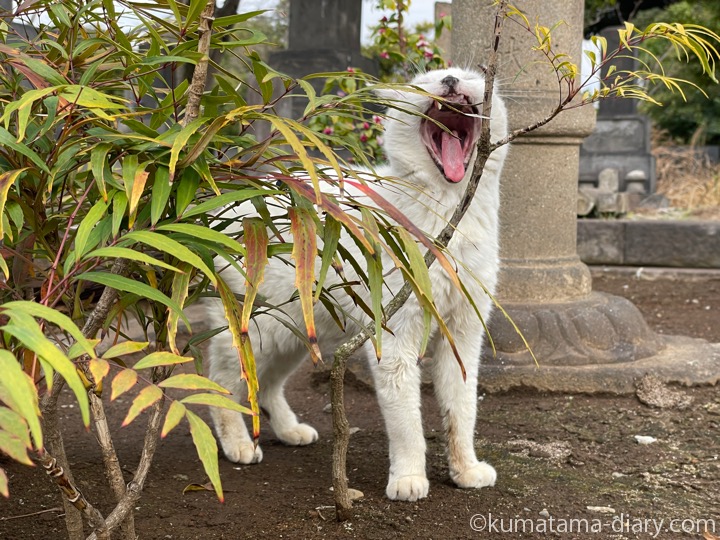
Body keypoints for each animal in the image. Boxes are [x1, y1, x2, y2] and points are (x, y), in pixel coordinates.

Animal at [205, 66, 510, 502]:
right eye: (426, 81)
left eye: (467, 75)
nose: (450, 80)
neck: (449, 212)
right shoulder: (396, 338)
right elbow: (407, 423)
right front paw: (408, 479)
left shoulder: (463, 335)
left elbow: (461, 413)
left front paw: (465, 470)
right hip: (259, 331)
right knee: (222, 383)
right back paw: (239, 445)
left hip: (294, 334)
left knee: (266, 385)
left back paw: (290, 431)